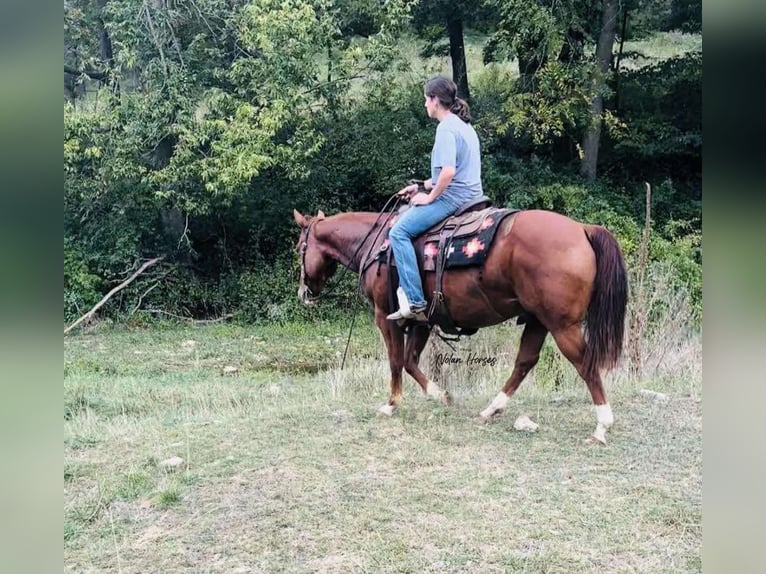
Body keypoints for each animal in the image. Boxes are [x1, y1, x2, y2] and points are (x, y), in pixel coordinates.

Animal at [294, 207, 632, 446]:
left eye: (299, 248)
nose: (303, 293)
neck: (378, 244)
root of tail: (583, 229)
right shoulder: (423, 320)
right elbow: (410, 361)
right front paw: (440, 395)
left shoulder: (384, 315)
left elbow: (395, 360)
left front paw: (391, 404)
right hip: (538, 320)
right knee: (524, 362)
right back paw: (490, 410)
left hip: (562, 325)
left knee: (585, 364)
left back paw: (602, 426)